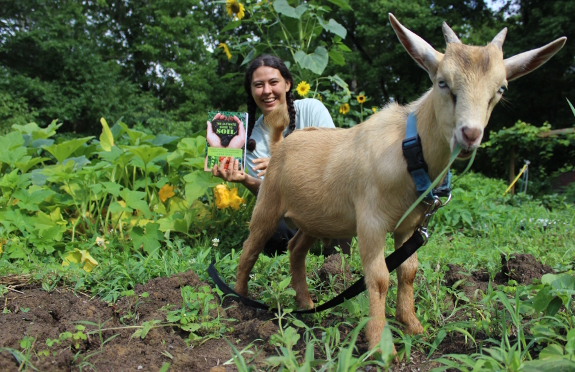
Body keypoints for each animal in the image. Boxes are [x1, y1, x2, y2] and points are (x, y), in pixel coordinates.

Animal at [234, 14, 568, 350]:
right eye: (442, 82)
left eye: (500, 89)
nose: (470, 134)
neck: (410, 152)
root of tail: (280, 144)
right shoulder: (370, 221)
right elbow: (379, 277)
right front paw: (380, 344)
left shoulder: (410, 223)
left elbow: (408, 271)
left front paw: (412, 325)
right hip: (268, 202)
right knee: (251, 247)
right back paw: (240, 301)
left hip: (315, 218)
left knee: (296, 248)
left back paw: (306, 304)